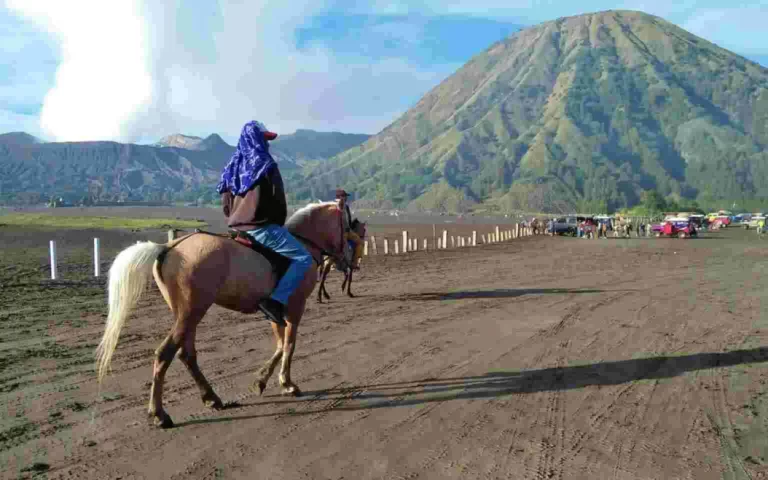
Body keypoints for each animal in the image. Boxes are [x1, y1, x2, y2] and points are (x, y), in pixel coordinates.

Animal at [95, 201, 344, 430]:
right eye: (348, 222)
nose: (342, 259)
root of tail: (169, 247)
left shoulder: (276, 312)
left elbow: (280, 345)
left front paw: (261, 381)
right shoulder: (295, 308)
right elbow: (289, 345)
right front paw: (287, 384)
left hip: (187, 314)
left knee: (186, 354)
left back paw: (211, 397)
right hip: (192, 312)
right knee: (165, 353)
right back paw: (160, 414)